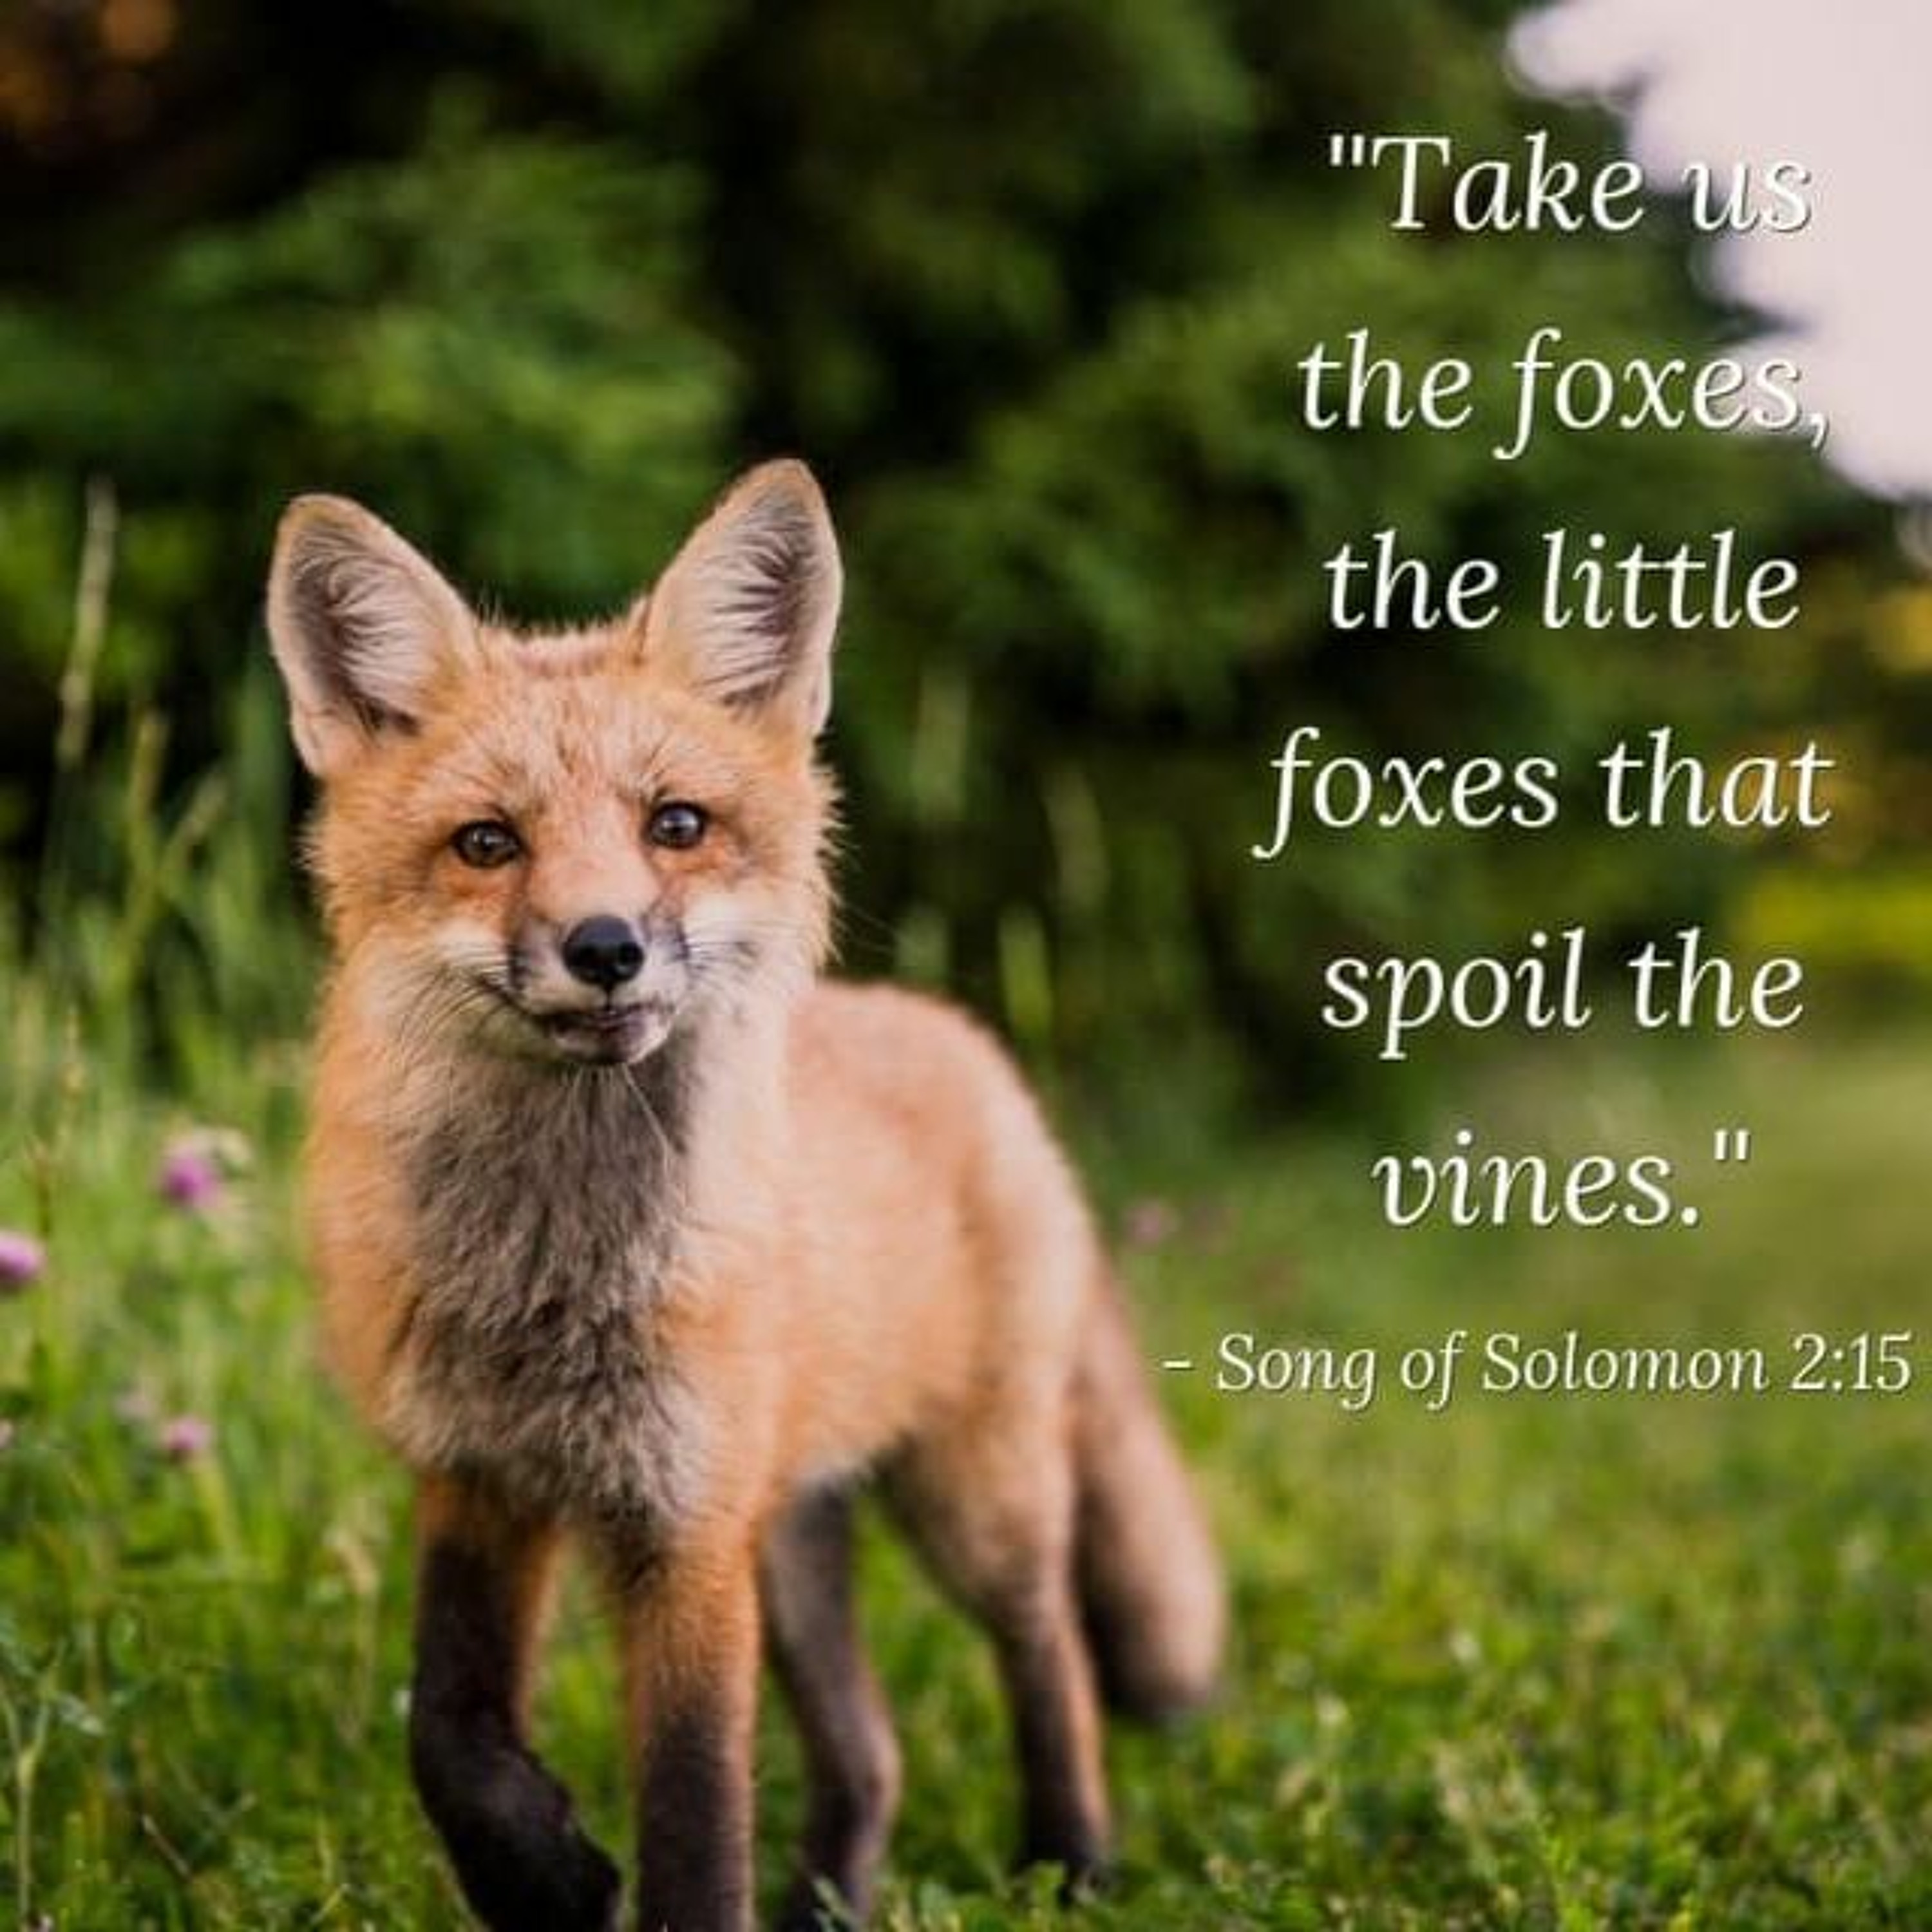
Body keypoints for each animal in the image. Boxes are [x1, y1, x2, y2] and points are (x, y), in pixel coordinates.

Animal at [265, 459, 1224, 1932]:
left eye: (676, 826)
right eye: (487, 843)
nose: (604, 947)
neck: (557, 1286)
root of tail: (963, 1040)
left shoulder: (686, 1529)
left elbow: (696, 1812)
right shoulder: (479, 1477)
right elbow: (448, 1733)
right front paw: (545, 1878)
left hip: (972, 1499)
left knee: (1050, 1645)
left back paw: (1073, 1861)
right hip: (797, 1537)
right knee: (874, 1751)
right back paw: (834, 1900)